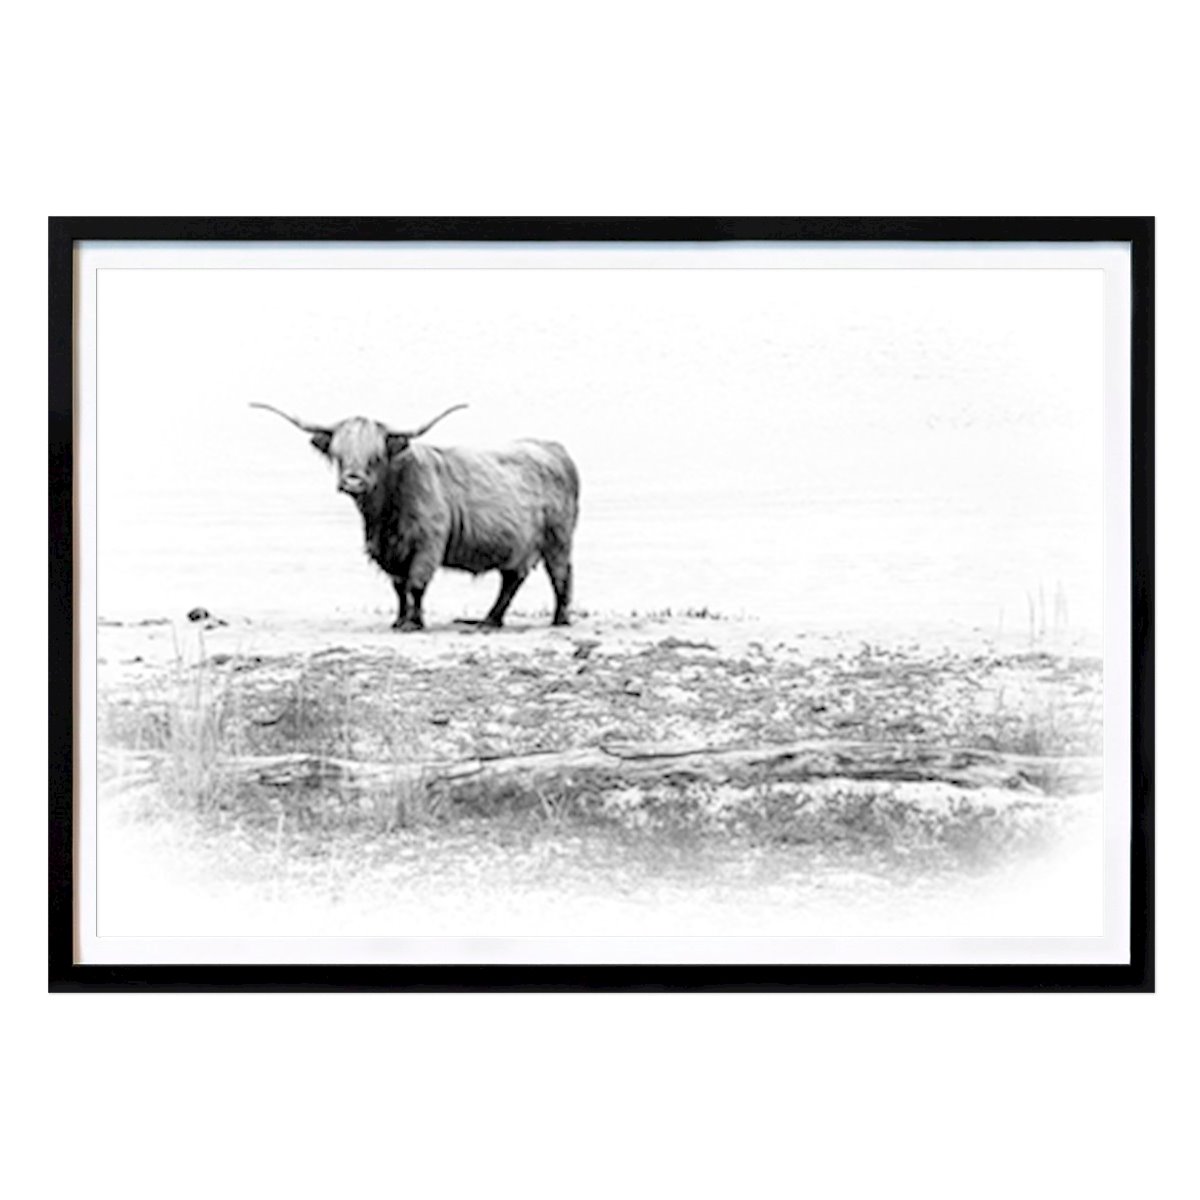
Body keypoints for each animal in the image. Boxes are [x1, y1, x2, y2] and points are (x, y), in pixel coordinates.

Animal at [251, 402, 579, 631]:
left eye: (375, 456)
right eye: (338, 454)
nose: (353, 481)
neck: (383, 517)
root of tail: (553, 448)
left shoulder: (427, 544)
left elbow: (416, 583)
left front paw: (413, 623)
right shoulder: (388, 551)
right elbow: (399, 587)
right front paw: (400, 621)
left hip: (558, 539)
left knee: (560, 575)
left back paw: (559, 619)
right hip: (520, 545)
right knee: (512, 579)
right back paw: (491, 621)